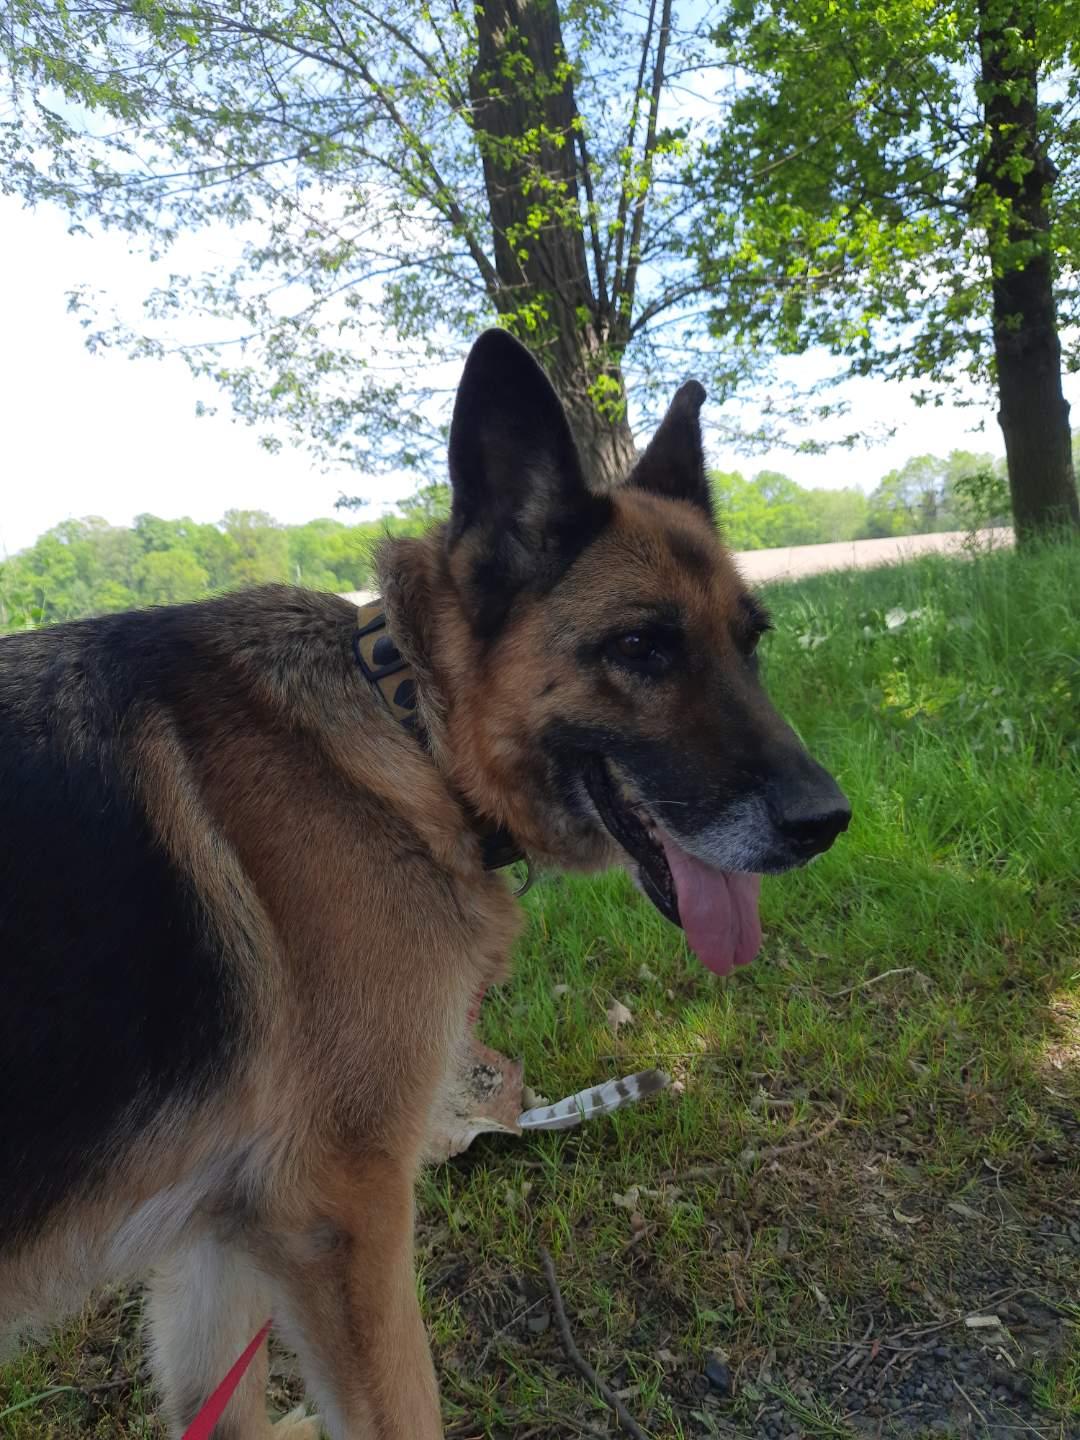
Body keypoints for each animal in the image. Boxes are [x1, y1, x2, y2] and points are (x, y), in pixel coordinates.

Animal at [0, 329, 849, 1438]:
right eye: (640, 648)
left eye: (752, 645)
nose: (827, 821)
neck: (410, 732)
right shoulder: (340, 1210)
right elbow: (405, 1409)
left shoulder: (222, 1226)